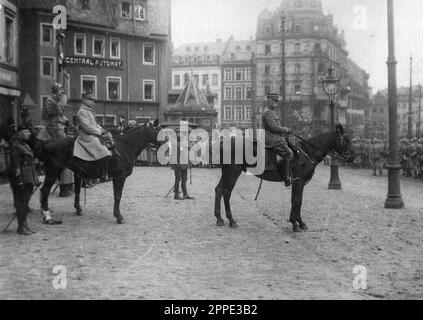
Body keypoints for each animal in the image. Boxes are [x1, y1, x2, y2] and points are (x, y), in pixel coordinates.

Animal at [214, 124, 356, 231]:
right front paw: (296, 223)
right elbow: (298, 201)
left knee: (219, 190)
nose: (352, 156)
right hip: (233, 172)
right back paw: (231, 220)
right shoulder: (299, 182)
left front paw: (297, 222)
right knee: (227, 192)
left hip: (226, 172)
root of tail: (224, 142)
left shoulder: (297, 182)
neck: (307, 152)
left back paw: (219, 219)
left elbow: (296, 200)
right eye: (346, 139)